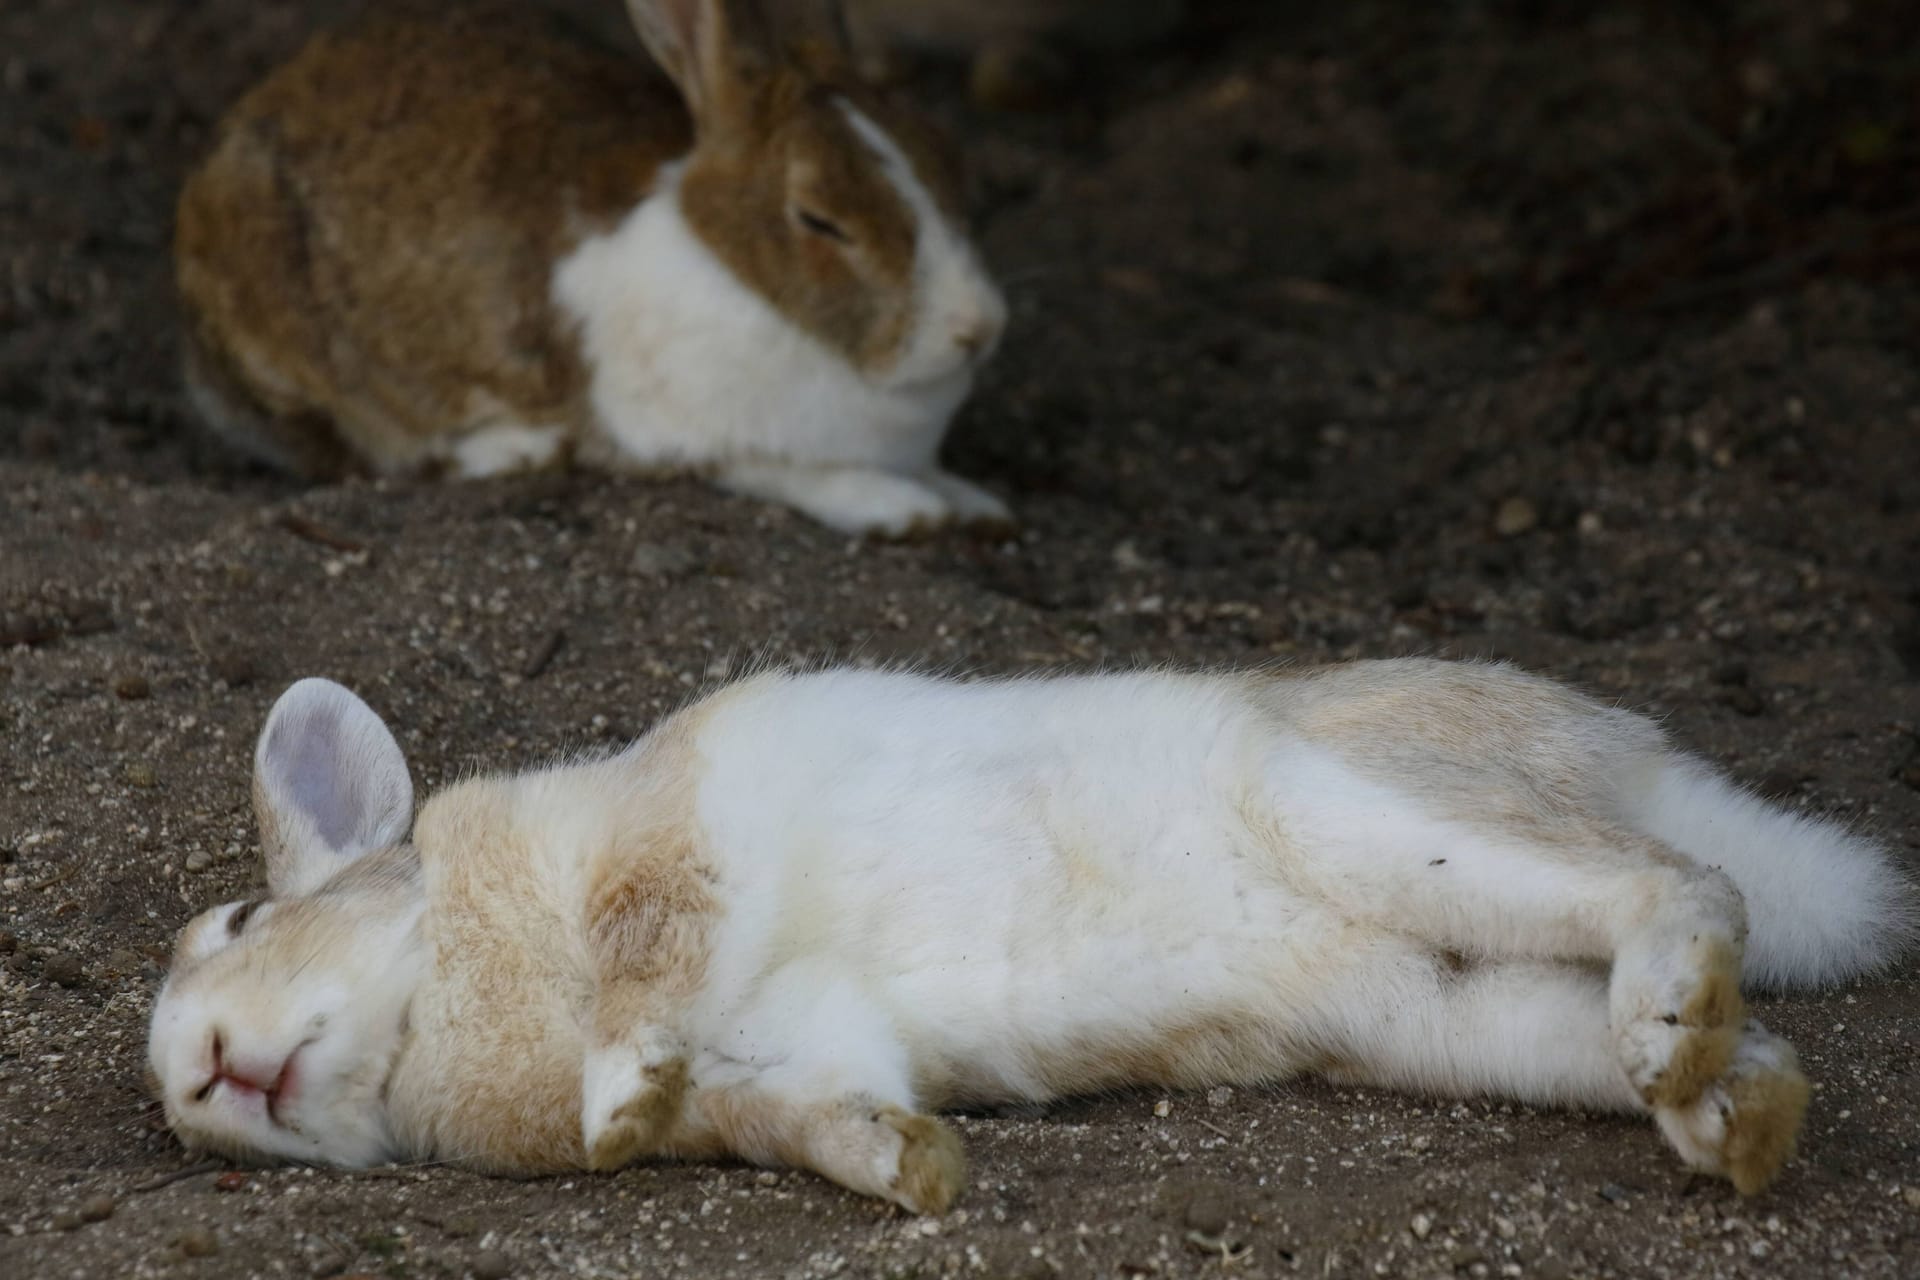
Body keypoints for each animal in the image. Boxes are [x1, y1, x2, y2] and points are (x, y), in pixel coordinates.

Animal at [142, 660, 1912, 1212]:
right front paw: (913, 1171)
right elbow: (792, 1111)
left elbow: (657, 952)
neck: (451, 972)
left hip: (1362, 810)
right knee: (1693, 1025)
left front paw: (613, 1095)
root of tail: (1624, 749)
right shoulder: (792, 1046)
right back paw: (1728, 1112)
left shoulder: (675, 845)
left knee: (1688, 886)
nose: (198, 1075)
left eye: (238, 917)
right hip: (1443, 1009)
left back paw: (1683, 1016)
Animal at [174, 0, 1013, 537]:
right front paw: (907, 513)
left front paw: (978, 506)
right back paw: (519, 449)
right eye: (820, 220)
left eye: (947, 155)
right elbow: (801, 475)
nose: (979, 329)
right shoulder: (688, 438)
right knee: (356, 450)